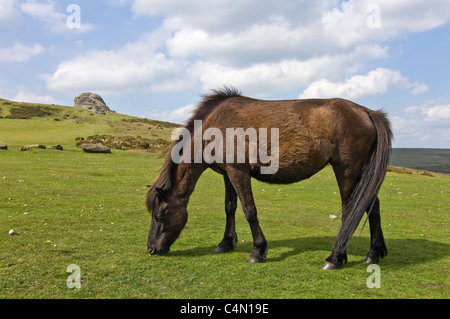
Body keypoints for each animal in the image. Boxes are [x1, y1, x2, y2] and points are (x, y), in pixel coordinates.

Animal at [147, 87, 390, 270]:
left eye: (159, 216)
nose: (151, 249)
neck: (216, 126)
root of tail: (367, 111)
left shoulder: (238, 172)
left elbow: (249, 210)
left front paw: (258, 250)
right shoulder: (228, 174)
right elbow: (230, 207)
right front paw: (226, 243)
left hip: (347, 171)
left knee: (351, 210)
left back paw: (335, 257)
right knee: (372, 205)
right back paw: (373, 253)